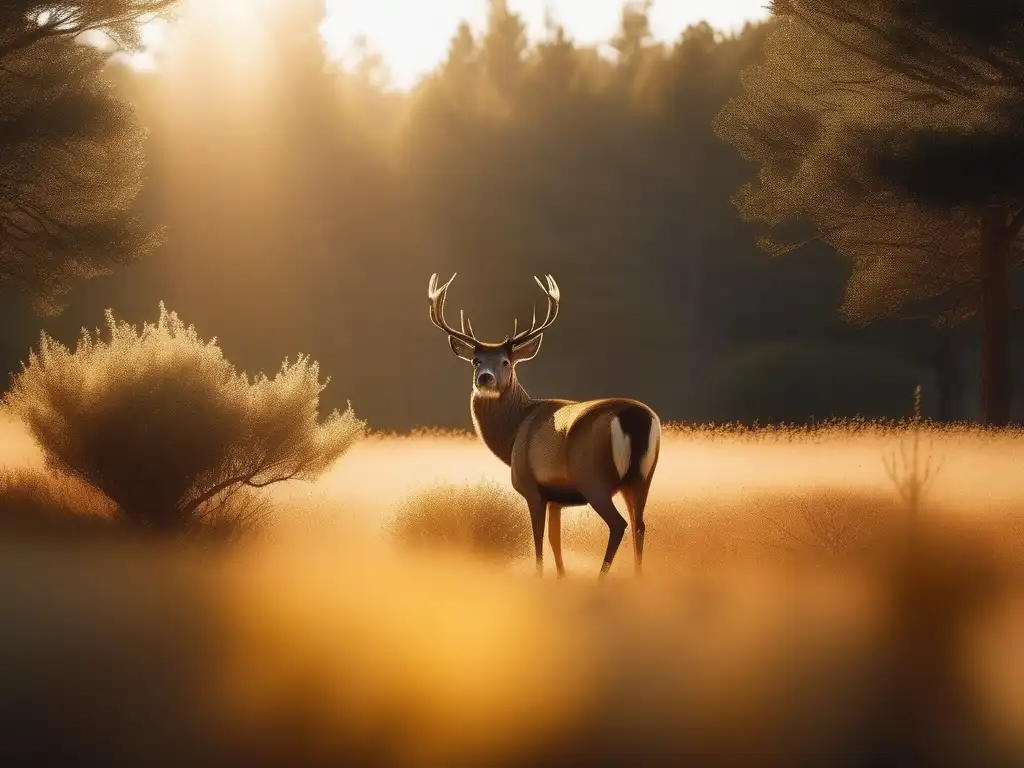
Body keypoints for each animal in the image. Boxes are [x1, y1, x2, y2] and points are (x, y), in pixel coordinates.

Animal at [425, 274, 659, 581]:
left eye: (506, 362)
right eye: (476, 361)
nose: (485, 378)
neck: (514, 432)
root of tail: (634, 418)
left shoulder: (531, 485)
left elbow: (537, 538)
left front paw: (539, 576)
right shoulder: (557, 498)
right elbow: (554, 539)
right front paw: (560, 576)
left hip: (593, 477)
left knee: (619, 524)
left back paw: (601, 578)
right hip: (643, 477)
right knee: (640, 525)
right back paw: (638, 578)